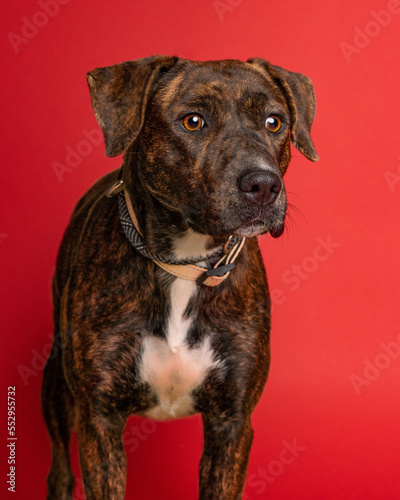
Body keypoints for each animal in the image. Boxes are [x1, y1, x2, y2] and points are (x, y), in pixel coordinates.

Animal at [41, 55, 318, 500]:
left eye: (274, 122)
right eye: (193, 121)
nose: (263, 184)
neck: (186, 264)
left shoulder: (231, 424)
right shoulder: (99, 422)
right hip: (56, 383)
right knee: (61, 469)